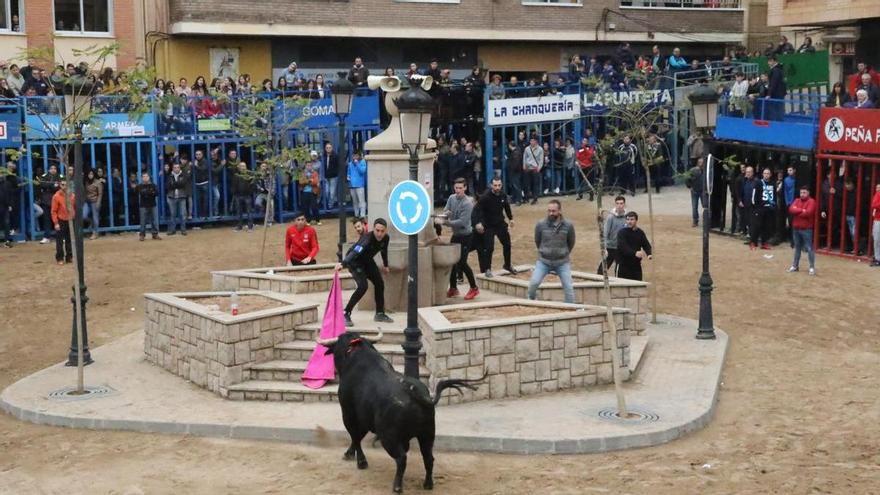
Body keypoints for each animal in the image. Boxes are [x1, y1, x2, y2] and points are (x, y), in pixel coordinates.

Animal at [320, 332, 478, 494]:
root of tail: (417, 395)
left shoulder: (348, 413)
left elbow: (355, 437)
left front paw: (361, 462)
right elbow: (358, 437)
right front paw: (350, 453)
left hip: (389, 437)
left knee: (402, 458)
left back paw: (397, 486)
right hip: (427, 434)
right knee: (428, 458)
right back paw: (428, 484)